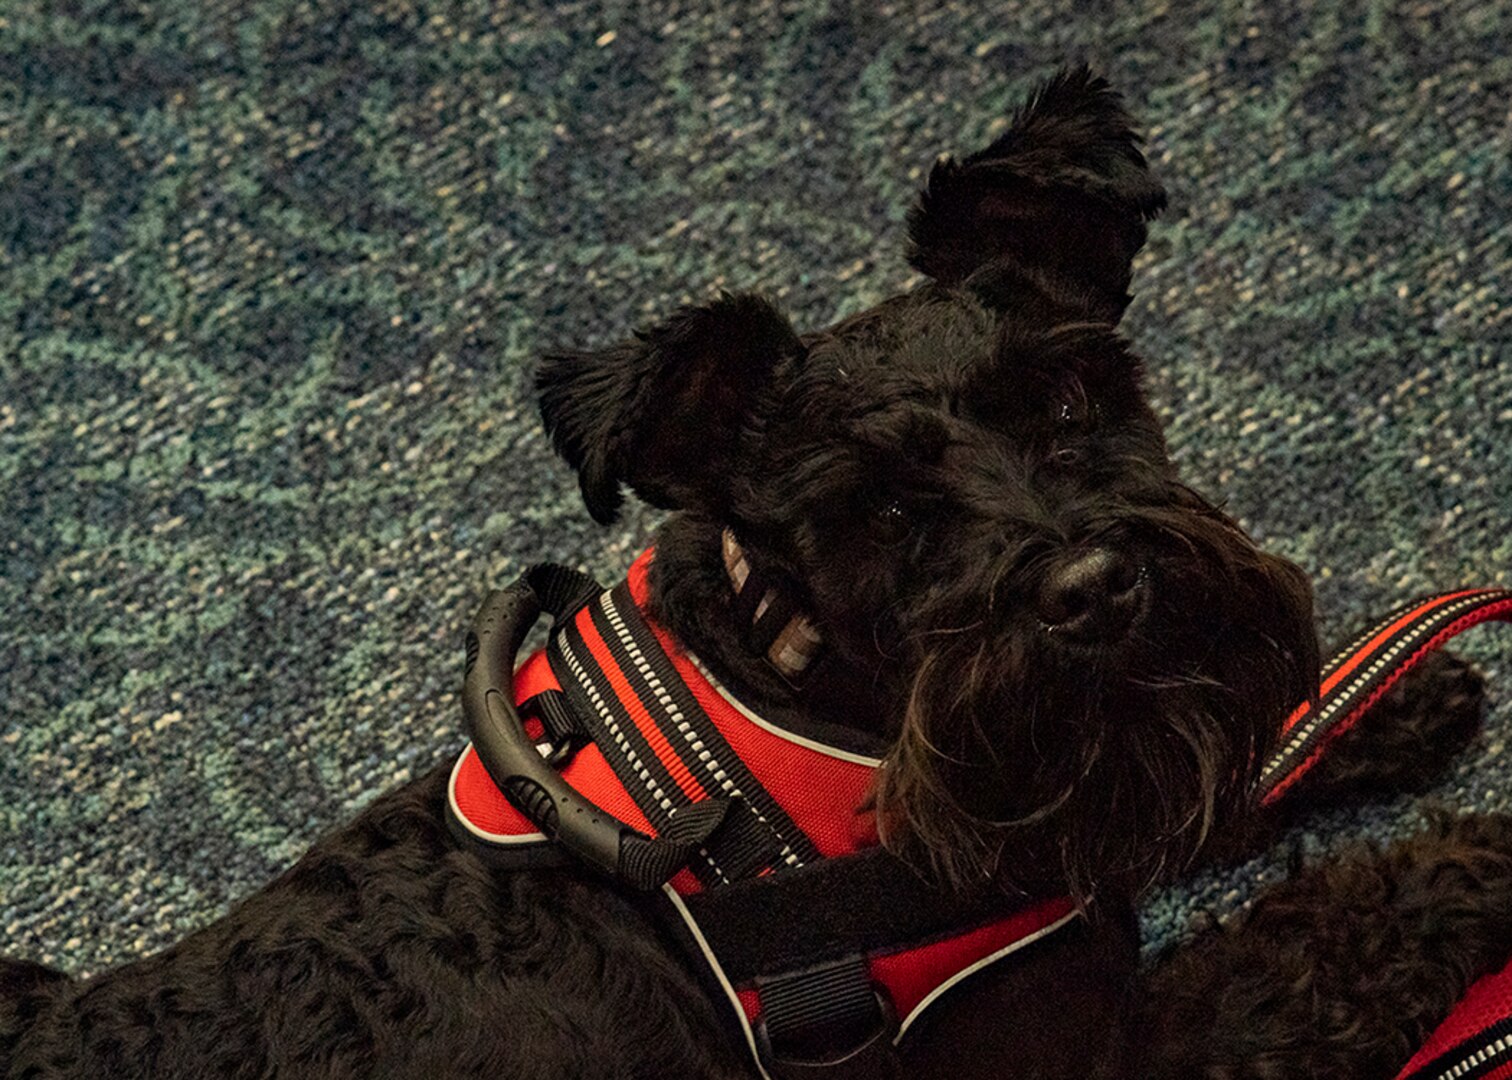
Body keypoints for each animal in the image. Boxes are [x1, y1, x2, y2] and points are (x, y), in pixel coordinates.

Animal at [0, 67, 1505, 1076]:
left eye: (1076, 395)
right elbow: (1306, 936)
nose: (1094, 590)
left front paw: (1388, 697)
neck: (806, 694)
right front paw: (1465, 855)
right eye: (881, 509)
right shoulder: (1090, 1039)